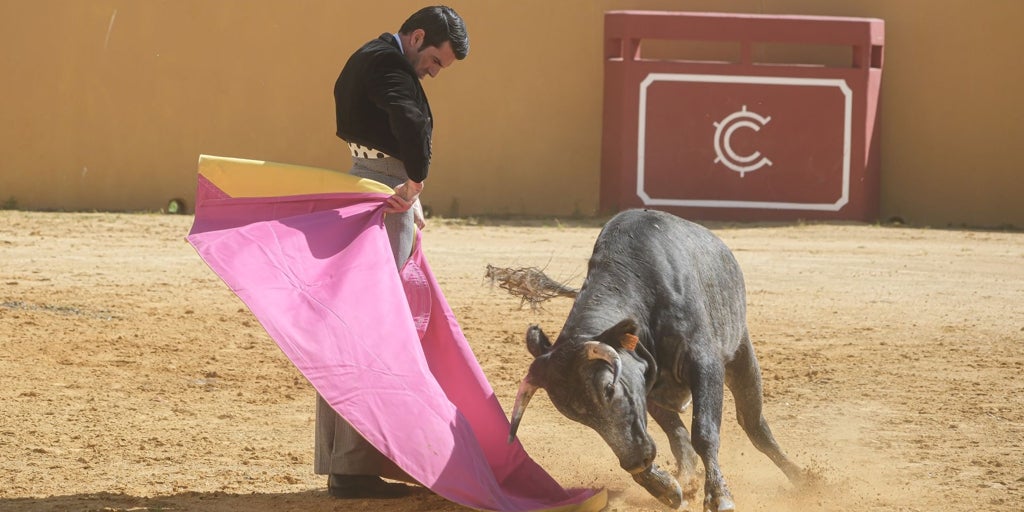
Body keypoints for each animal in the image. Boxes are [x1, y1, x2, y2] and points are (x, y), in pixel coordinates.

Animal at [507, 208, 802, 512]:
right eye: (576, 416)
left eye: (608, 388)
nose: (636, 461)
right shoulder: (645, 386)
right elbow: (674, 436)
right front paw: (665, 488)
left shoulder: (705, 363)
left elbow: (704, 432)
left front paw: (719, 496)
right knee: (681, 438)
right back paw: (685, 480)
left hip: (742, 354)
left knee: (754, 425)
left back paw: (805, 479)